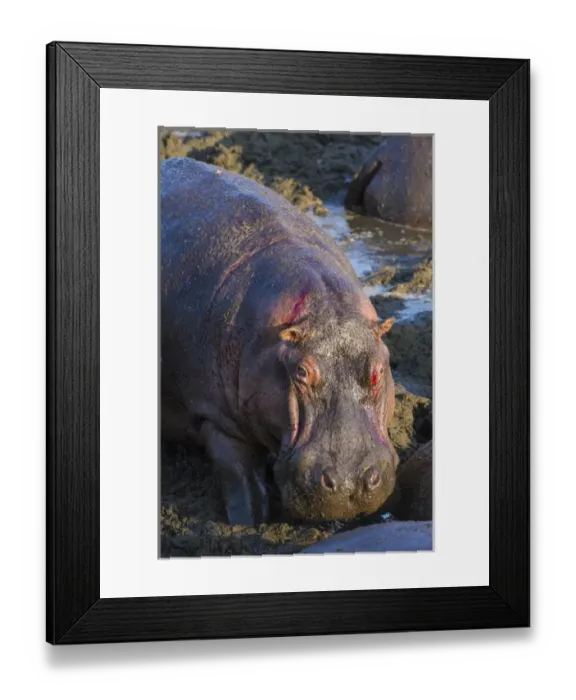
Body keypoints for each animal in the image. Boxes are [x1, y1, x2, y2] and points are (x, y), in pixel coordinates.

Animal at [161, 157, 399, 526]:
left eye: (377, 371)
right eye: (301, 373)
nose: (349, 483)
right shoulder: (216, 418)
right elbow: (240, 477)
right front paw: (248, 525)